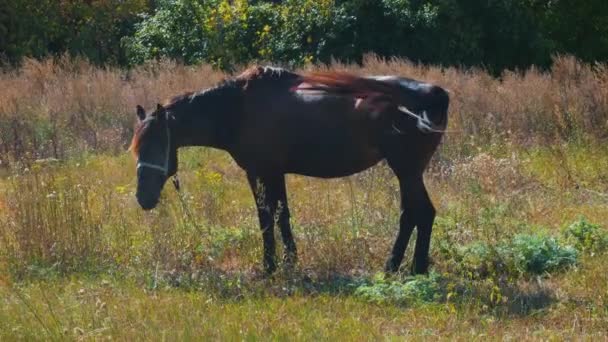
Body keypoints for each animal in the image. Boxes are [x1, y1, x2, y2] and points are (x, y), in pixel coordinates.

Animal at [131, 66, 448, 276]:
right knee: (414, 214)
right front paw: (289, 261)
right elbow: (282, 215)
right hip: (408, 172)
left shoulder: (258, 171)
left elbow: (265, 217)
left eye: (157, 144)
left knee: (419, 213)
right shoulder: (274, 173)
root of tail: (437, 93)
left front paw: (269, 266)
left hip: (406, 170)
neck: (237, 109)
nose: (143, 199)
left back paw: (406, 267)